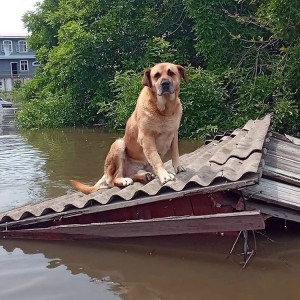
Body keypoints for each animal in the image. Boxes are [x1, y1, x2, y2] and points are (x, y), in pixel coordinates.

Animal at [71, 63, 188, 195]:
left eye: (171, 73)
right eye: (156, 75)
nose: (165, 83)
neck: (165, 109)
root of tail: (105, 174)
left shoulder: (174, 133)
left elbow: (175, 152)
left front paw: (178, 167)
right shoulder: (147, 138)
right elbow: (156, 158)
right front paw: (165, 176)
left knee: (131, 174)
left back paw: (145, 176)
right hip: (119, 144)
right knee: (114, 179)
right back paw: (125, 180)